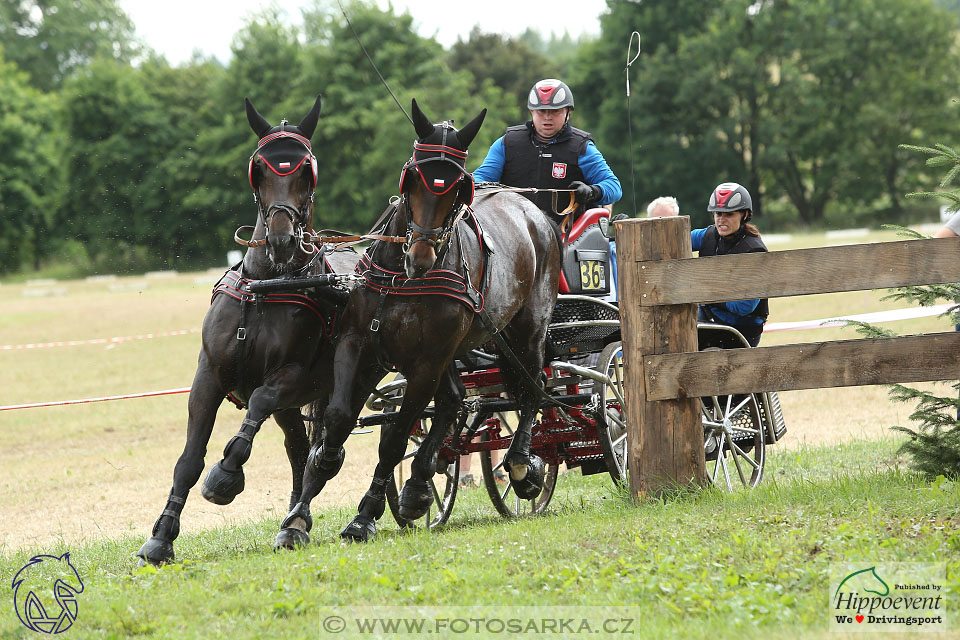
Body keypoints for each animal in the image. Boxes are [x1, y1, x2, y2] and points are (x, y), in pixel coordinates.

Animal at [137, 96, 358, 564]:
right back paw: (294, 521)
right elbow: (189, 458)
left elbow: (255, 406)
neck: (266, 287)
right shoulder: (208, 375)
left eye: (306, 170)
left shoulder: (289, 377)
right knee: (300, 450)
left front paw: (225, 475)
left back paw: (302, 519)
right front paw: (162, 537)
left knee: (326, 449)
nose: (281, 239)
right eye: (261, 167)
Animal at [276, 100, 564, 544]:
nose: (421, 258)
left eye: (458, 187)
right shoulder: (359, 345)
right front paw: (298, 515)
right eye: (412, 178)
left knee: (533, 387)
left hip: (524, 331)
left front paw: (364, 516)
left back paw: (519, 464)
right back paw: (419, 485)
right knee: (456, 400)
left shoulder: (426, 362)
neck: (403, 279)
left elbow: (395, 438)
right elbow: (338, 421)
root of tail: (534, 211)